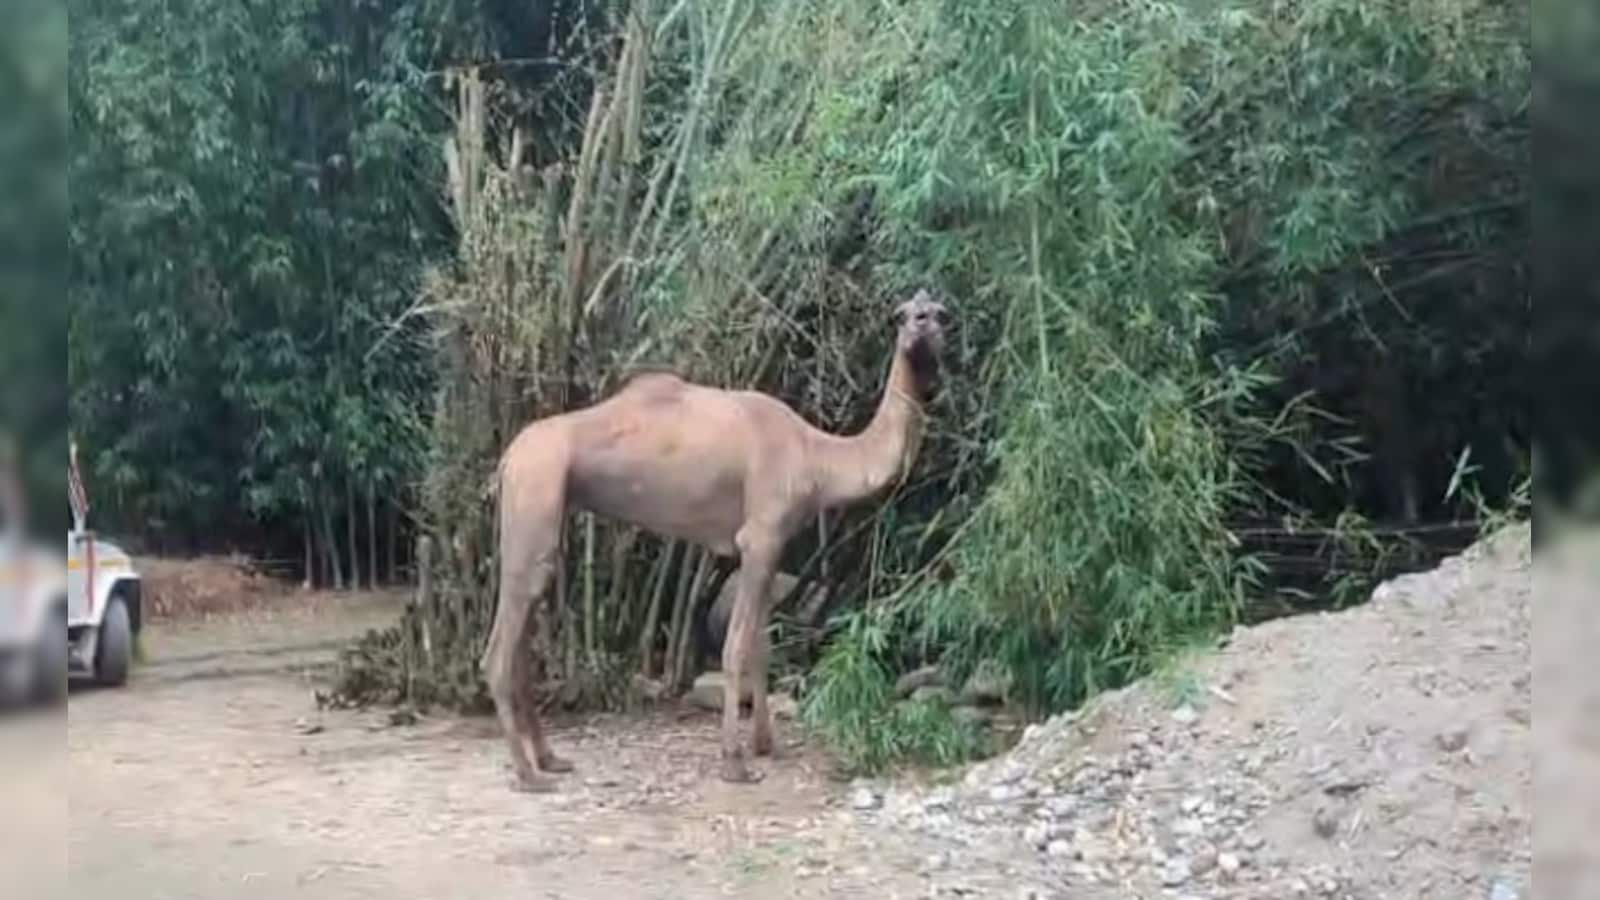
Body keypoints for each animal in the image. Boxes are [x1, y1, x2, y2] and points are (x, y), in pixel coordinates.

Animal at [483, 289, 949, 789]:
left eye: (942, 315)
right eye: (901, 315)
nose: (922, 325)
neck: (816, 458)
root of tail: (508, 457)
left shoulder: (770, 547)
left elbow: (761, 647)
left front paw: (766, 745)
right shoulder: (760, 535)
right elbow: (736, 646)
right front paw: (735, 761)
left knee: (522, 637)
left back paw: (550, 759)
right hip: (535, 494)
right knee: (499, 649)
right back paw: (528, 774)